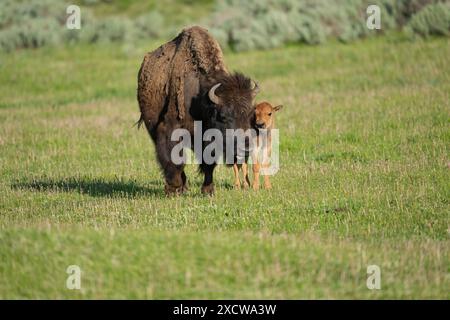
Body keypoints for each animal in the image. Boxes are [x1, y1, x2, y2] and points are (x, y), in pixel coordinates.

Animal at [135, 26, 258, 195]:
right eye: (223, 116)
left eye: (251, 115)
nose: (245, 148)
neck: (201, 100)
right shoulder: (170, 129)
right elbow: (174, 159)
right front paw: (173, 189)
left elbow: (208, 163)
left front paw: (208, 190)